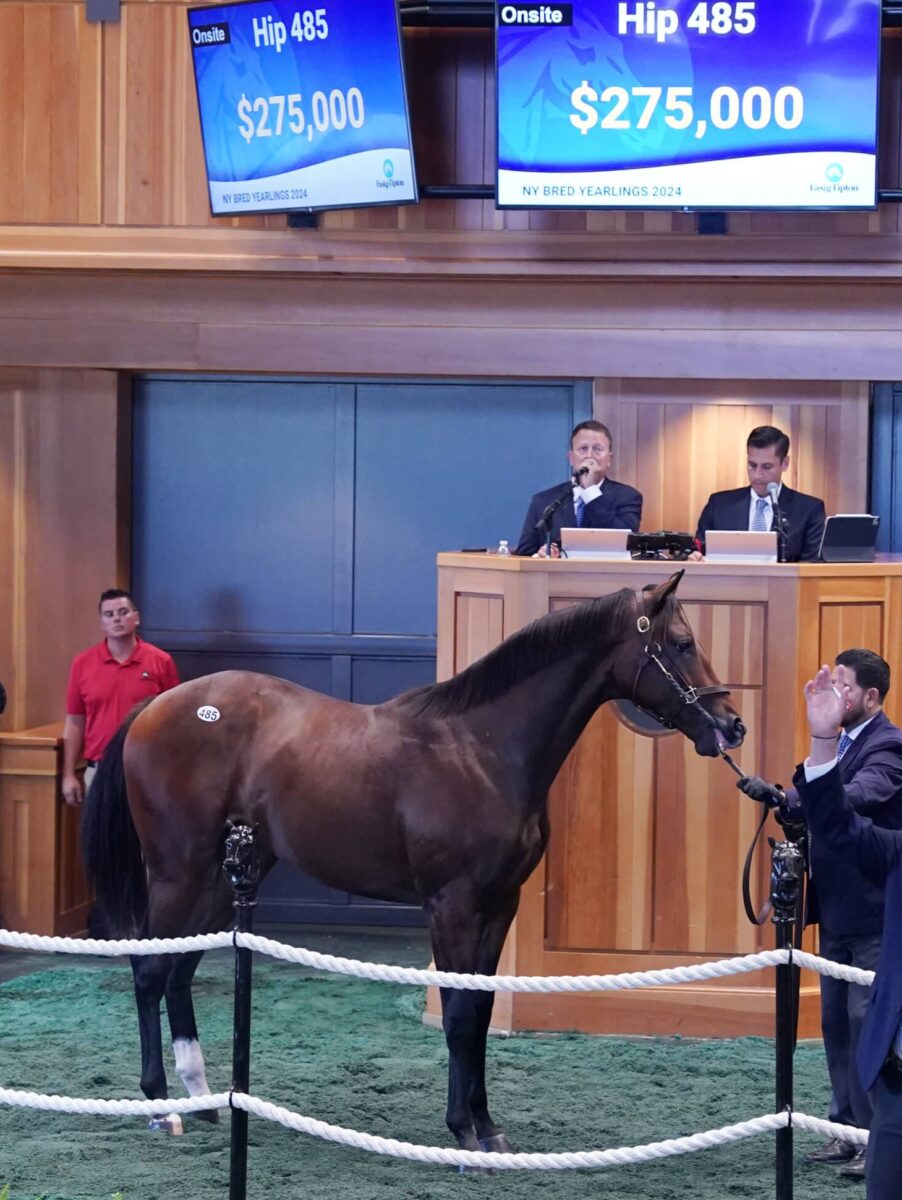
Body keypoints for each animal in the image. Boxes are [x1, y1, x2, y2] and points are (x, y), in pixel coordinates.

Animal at [80, 576, 743, 1147]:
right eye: (682, 644)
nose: (732, 726)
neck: (482, 751)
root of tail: (154, 707)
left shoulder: (499, 906)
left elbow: (480, 1010)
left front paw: (488, 1128)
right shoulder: (451, 906)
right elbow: (457, 1014)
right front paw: (463, 1130)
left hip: (226, 878)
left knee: (179, 973)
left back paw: (202, 1099)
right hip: (179, 872)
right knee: (149, 971)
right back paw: (161, 1107)